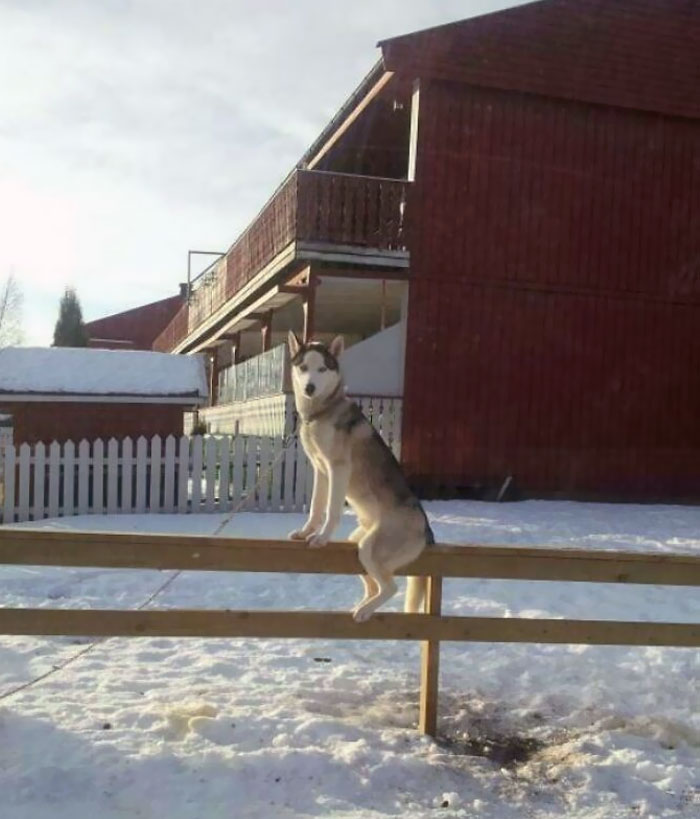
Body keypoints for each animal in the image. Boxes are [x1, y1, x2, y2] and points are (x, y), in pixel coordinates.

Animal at [288, 334, 434, 620]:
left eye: (322, 369)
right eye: (303, 367)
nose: (309, 387)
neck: (319, 413)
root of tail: (426, 529)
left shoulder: (338, 468)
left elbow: (332, 510)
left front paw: (322, 537)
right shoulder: (320, 470)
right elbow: (316, 507)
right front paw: (306, 532)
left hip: (370, 549)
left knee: (390, 588)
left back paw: (364, 612)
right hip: (357, 542)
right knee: (374, 586)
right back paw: (360, 606)